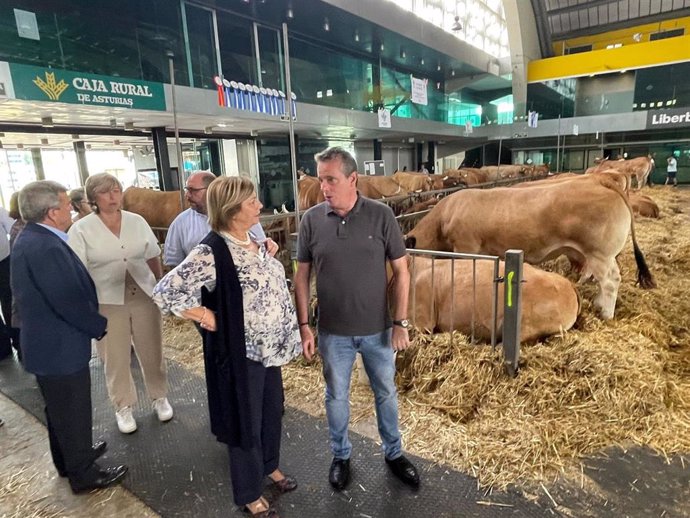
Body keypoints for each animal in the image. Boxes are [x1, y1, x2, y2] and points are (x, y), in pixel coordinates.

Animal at [406, 175, 652, 320]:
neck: (444, 217)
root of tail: (601, 182)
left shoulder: (466, 246)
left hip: (601, 253)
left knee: (610, 281)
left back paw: (606, 312)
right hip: (595, 255)